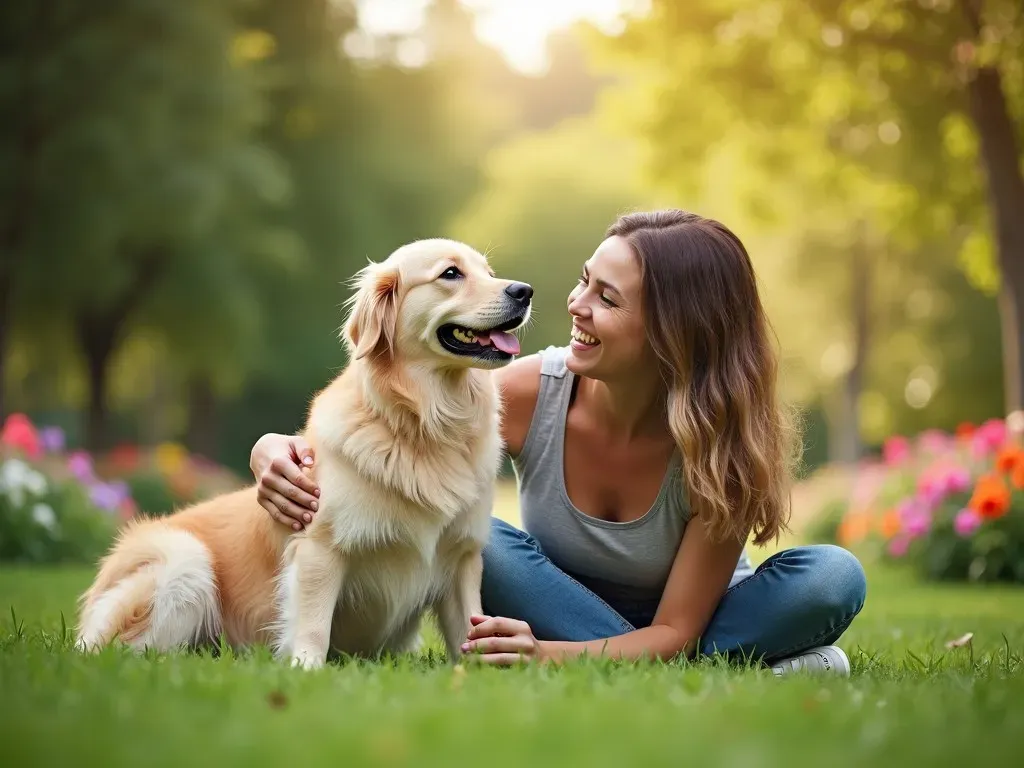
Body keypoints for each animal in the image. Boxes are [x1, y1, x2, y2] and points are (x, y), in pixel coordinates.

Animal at [75, 240, 532, 667]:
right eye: (451, 273)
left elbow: (470, 626)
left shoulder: (462, 557)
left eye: (489, 272)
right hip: (186, 564)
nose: (524, 290)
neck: (425, 424)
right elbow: (313, 624)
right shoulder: (319, 548)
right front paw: (305, 670)